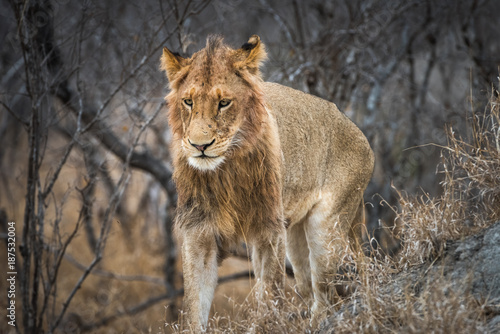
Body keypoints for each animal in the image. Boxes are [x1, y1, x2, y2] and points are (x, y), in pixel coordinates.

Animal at [161, 34, 376, 328]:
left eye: (224, 103)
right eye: (188, 102)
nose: (199, 145)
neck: (225, 171)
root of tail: (357, 130)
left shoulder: (268, 230)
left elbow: (270, 296)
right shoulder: (199, 231)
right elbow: (194, 305)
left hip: (326, 229)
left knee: (327, 294)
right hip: (296, 239)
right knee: (311, 286)